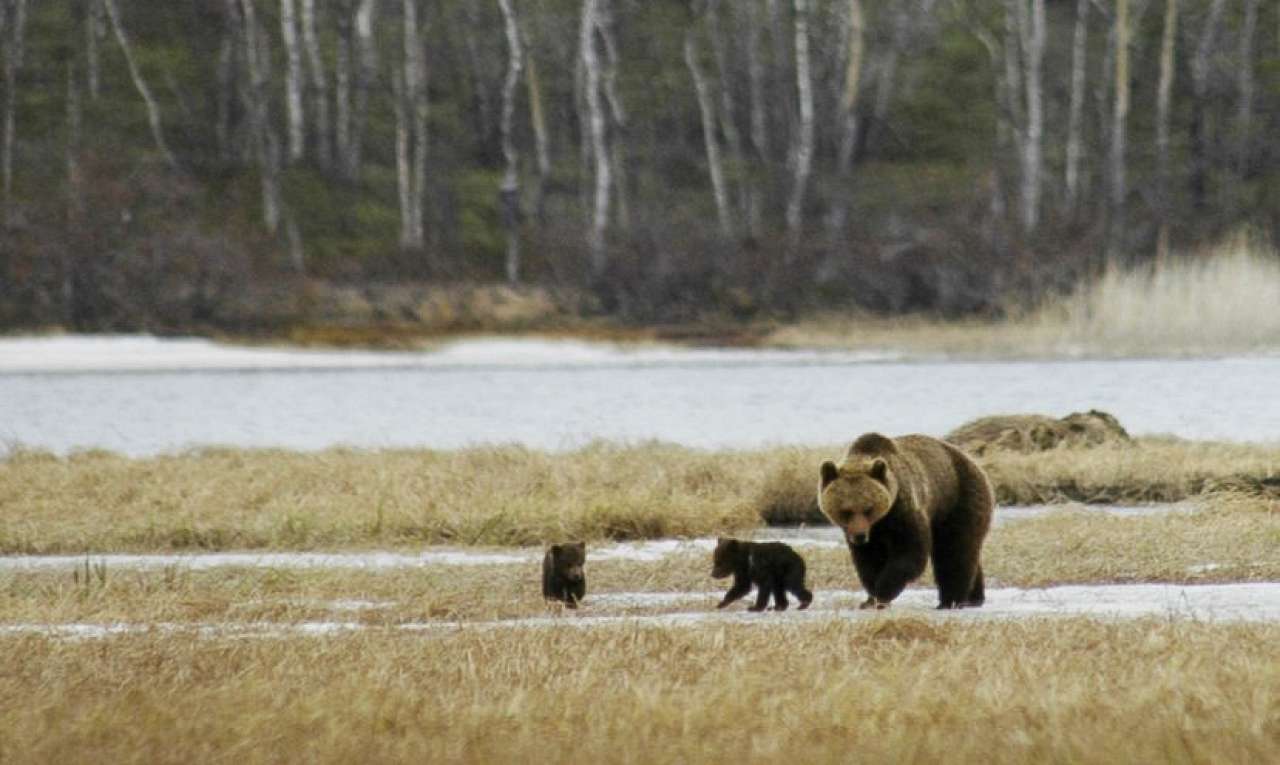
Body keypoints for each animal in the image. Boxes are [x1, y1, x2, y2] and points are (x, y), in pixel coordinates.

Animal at [814, 437, 993, 611]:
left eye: (868, 509)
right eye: (846, 511)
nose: (859, 536)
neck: (881, 522)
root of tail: (975, 463)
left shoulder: (904, 512)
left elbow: (909, 554)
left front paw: (881, 594)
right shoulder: (869, 534)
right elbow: (869, 561)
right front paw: (869, 599)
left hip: (957, 500)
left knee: (954, 550)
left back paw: (950, 601)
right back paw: (973, 598)